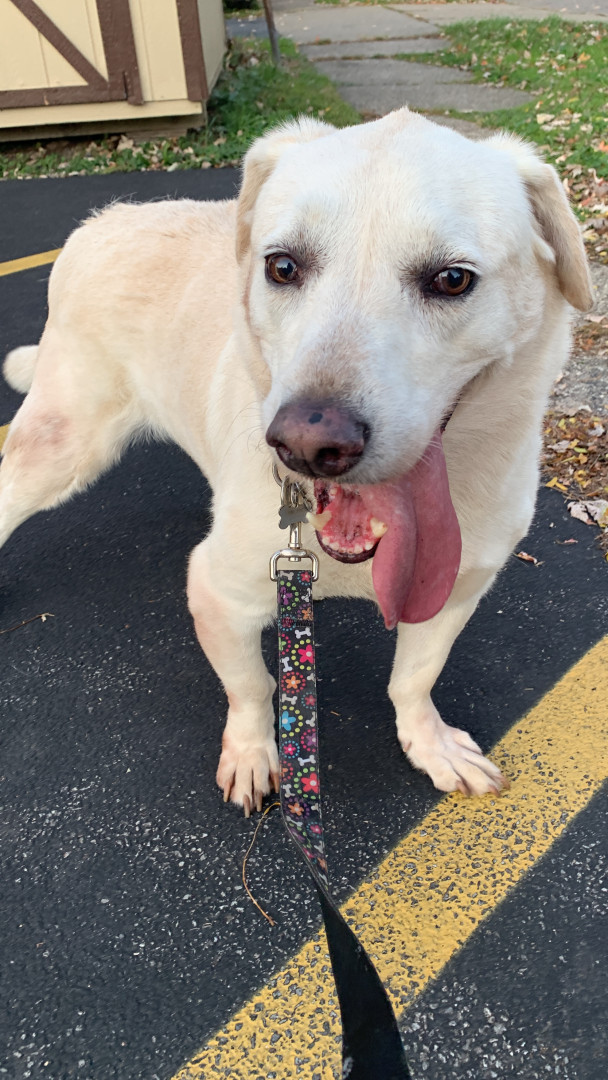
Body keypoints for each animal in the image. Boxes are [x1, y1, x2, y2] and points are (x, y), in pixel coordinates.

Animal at [1, 109, 591, 814]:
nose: (307, 447)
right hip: (62, 448)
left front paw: (430, 745)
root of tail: (102, 219)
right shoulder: (218, 594)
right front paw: (255, 755)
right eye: (282, 267)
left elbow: (415, 679)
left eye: (452, 279)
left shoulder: (455, 592)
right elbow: (254, 688)